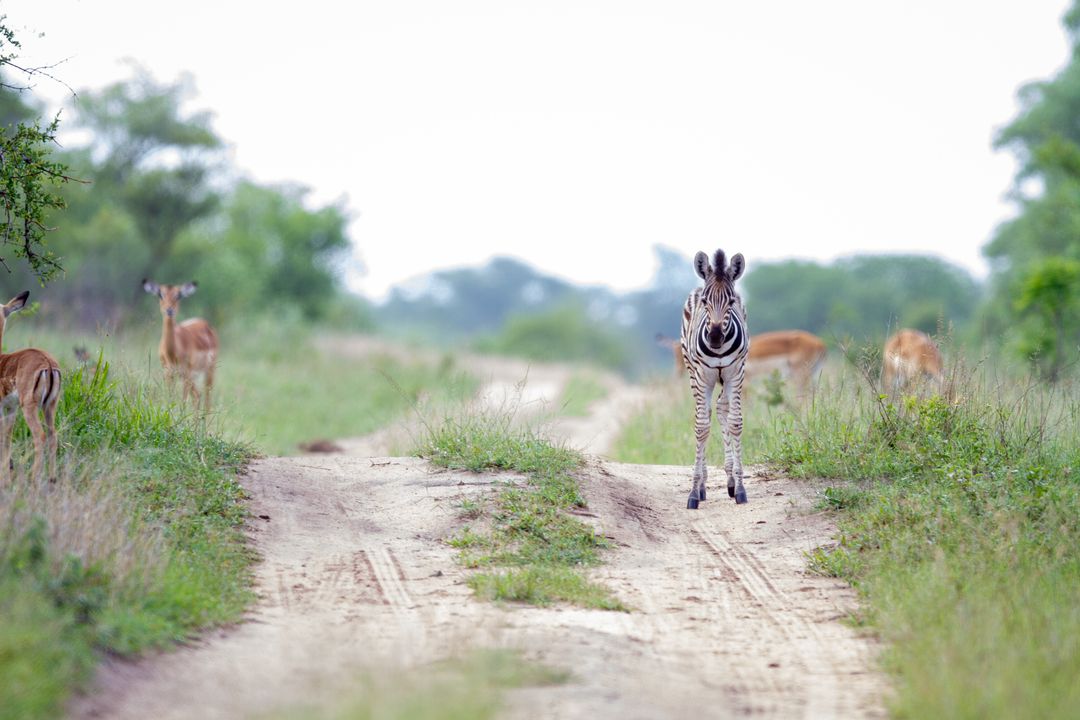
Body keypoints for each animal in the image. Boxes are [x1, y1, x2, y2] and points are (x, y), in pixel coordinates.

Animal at [680, 249, 750, 508]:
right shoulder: (703, 376)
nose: (716, 338)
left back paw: (729, 480)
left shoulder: (735, 373)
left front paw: (740, 487)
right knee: (706, 414)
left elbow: (735, 423)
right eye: (705, 302)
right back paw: (702, 485)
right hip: (693, 373)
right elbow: (701, 427)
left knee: (720, 408)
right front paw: (693, 491)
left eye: (730, 302)